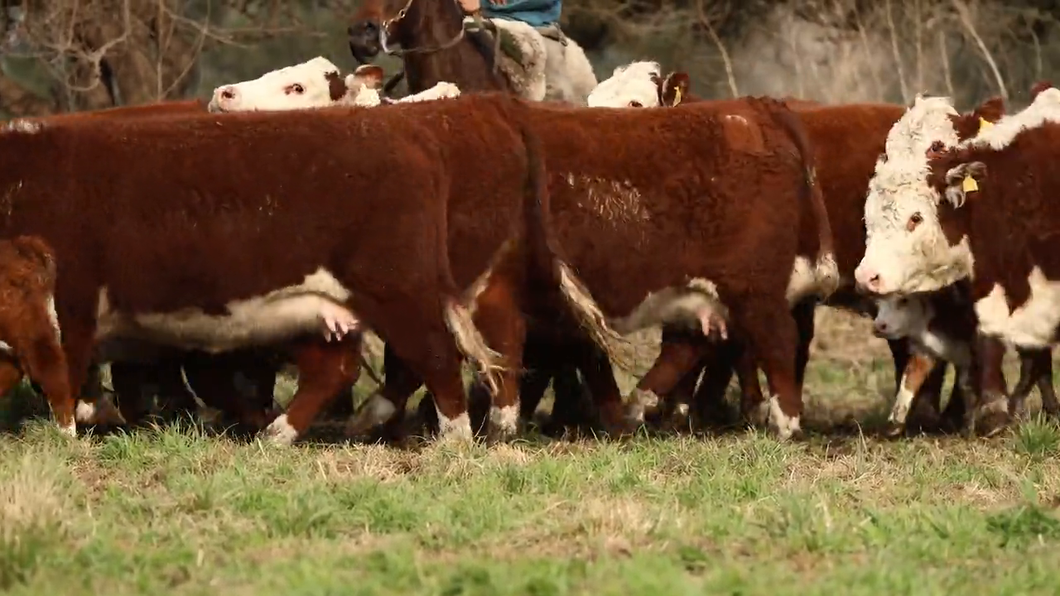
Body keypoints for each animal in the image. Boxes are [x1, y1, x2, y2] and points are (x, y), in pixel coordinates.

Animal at [0, 94, 606, 443]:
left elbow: (61, 369)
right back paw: (276, 435)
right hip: (333, 307)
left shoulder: (69, 301)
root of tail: (411, 131)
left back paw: (454, 440)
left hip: (402, 290)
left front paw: (72, 427)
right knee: (335, 368)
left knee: (439, 355)